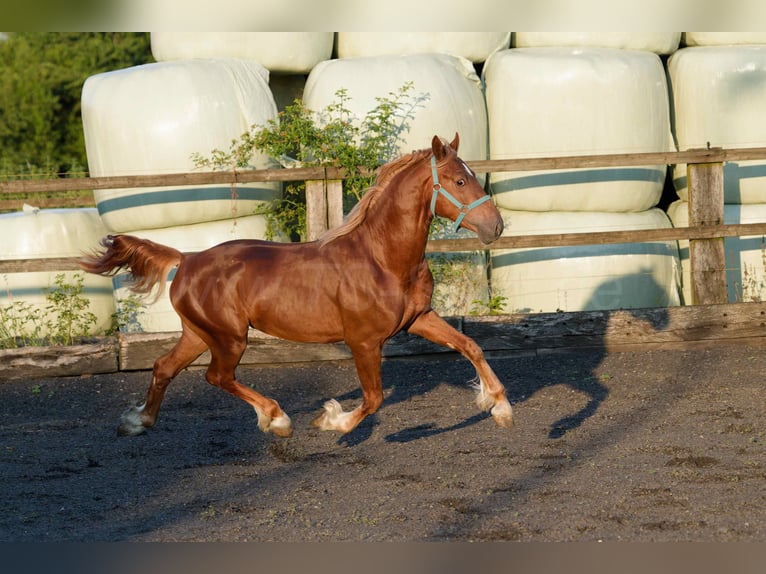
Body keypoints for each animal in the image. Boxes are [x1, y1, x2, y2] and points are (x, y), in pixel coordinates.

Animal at [80, 134, 513, 438]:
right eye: (459, 180)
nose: (496, 227)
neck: (383, 259)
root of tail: (186, 259)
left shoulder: (419, 318)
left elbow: (470, 346)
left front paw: (500, 407)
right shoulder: (363, 341)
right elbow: (373, 399)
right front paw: (331, 421)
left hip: (199, 333)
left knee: (164, 367)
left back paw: (137, 423)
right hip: (229, 337)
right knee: (216, 377)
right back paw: (276, 419)